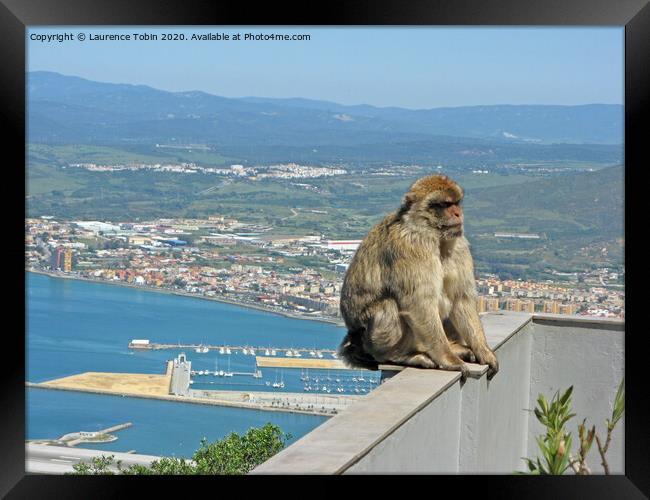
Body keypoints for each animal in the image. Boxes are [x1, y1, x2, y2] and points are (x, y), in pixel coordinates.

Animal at [336, 174, 498, 380]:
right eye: (444, 205)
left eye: (456, 203)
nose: (457, 214)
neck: (433, 235)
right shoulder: (412, 246)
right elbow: (419, 303)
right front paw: (448, 359)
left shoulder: (459, 245)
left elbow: (462, 299)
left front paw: (483, 351)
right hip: (370, 341)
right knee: (388, 306)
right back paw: (399, 356)